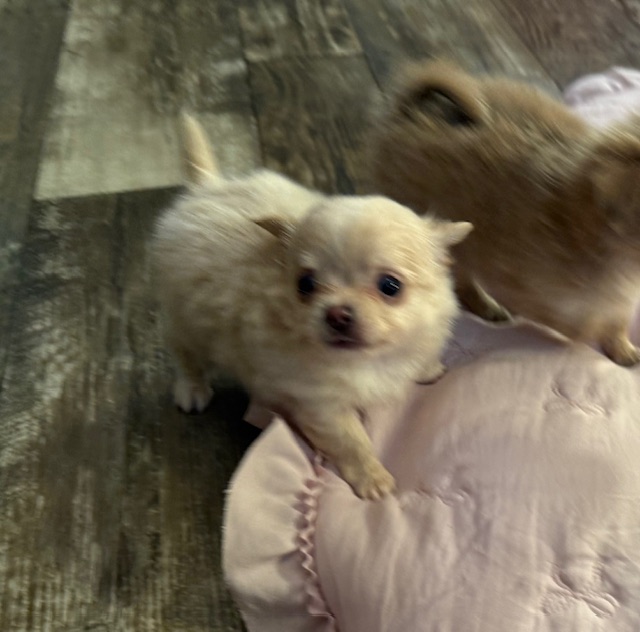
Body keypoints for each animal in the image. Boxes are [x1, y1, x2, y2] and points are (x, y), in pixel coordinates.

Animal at [152, 114, 472, 499]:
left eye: (390, 287)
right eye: (305, 285)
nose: (337, 314)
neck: (369, 360)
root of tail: (207, 189)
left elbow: (420, 357)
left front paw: (427, 369)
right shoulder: (320, 405)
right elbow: (352, 442)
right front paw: (372, 478)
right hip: (187, 318)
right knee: (183, 351)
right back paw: (192, 389)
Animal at [372, 59, 640, 366]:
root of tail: (407, 114)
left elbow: (615, 320)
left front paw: (622, 350)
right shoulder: (528, 285)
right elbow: (579, 324)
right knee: (463, 281)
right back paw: (488, 307)